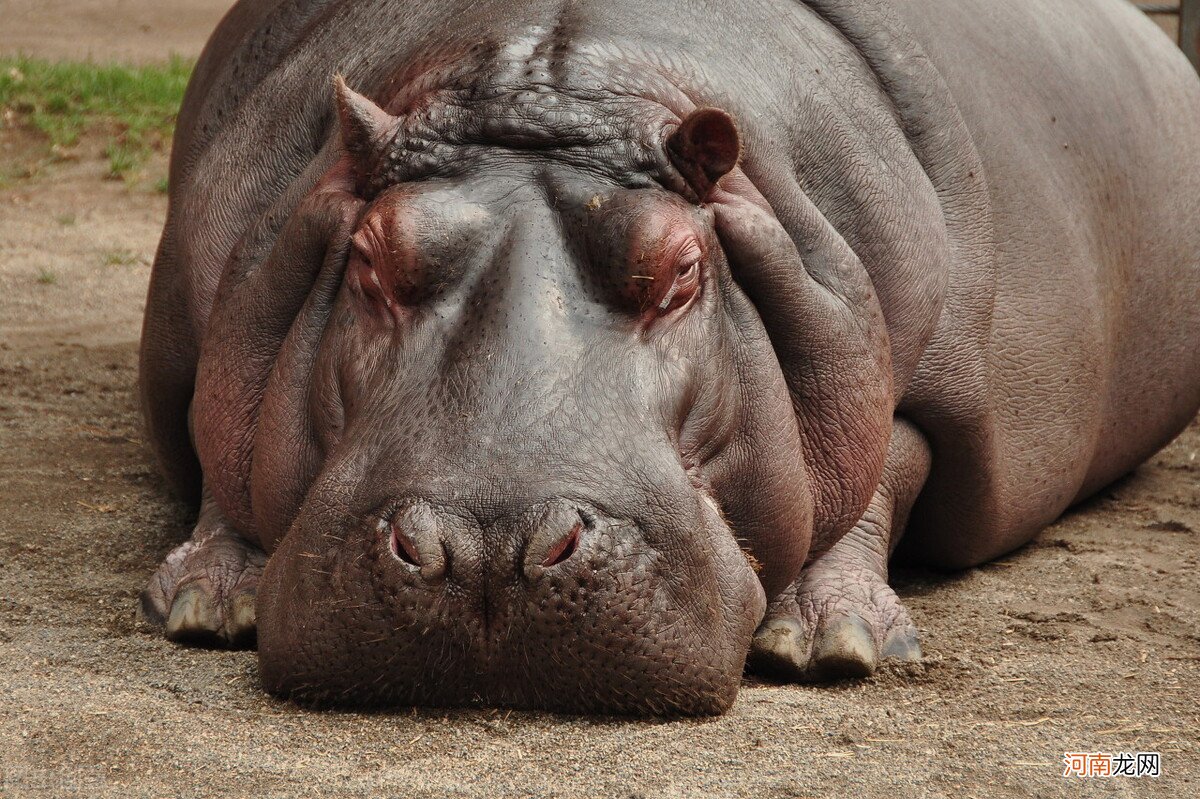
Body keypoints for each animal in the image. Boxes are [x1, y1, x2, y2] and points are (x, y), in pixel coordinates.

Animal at [138, 0, 1200, 715]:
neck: (556, 88)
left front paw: (834, 642)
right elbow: (220, 440)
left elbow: (883, 467)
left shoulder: (924, 377)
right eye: (367, 256)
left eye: (684, 270)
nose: (485, 549)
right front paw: (203, 602)